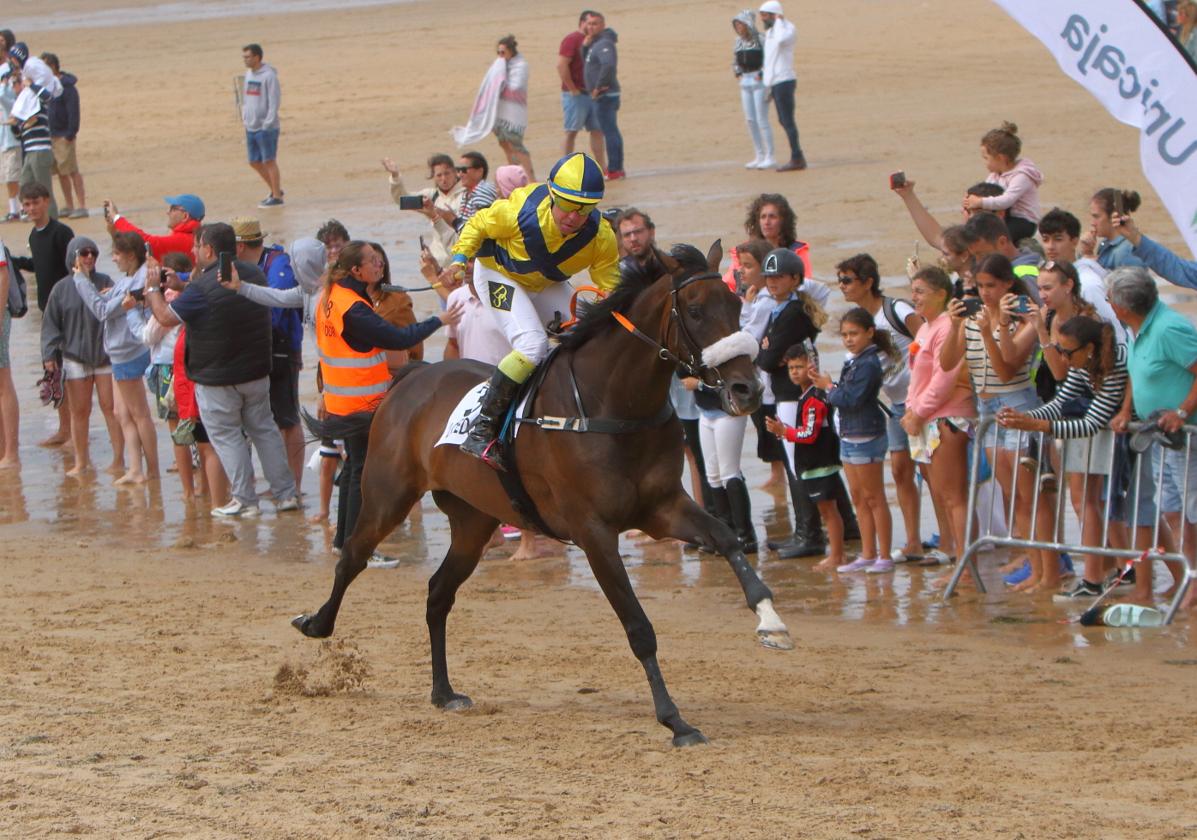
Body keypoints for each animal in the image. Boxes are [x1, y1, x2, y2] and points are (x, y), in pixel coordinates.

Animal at [294, 244, 790, 751]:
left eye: (737, 305)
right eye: (694, 310)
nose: (747, 389)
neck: (611, 405)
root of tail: (410, 379)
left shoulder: (661, 508)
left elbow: (725, 538)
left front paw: (770, 621)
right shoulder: (594, 532)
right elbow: (638, 627)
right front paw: (675, 721)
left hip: (473, 521)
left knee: (438, 593)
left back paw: (443, 691)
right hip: (388, 495)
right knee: (352, 556)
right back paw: (316, 624)